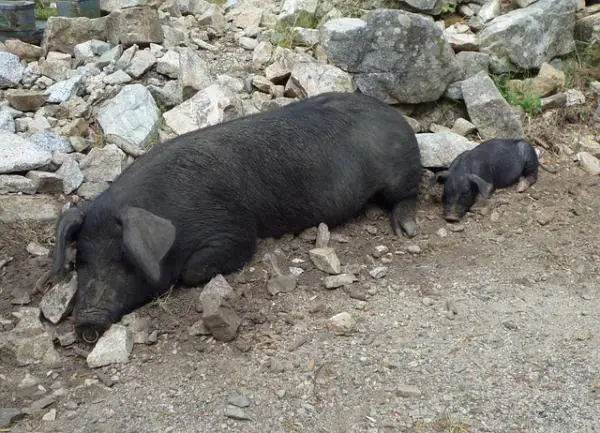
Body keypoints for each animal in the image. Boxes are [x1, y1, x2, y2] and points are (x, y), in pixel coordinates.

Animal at [55, 92, 422, 344]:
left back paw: (405, 230)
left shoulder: (234, 230)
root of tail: (399, 118)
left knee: (409, 194)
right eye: (81, 260)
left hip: (398, 176)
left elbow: (194, 270)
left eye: (125, 258)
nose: (87, 321)